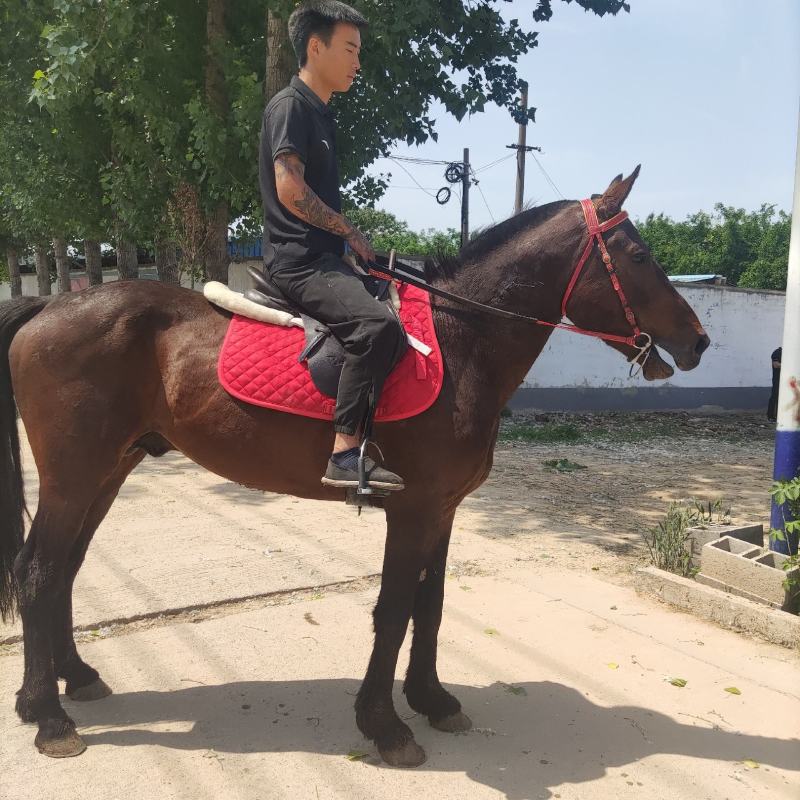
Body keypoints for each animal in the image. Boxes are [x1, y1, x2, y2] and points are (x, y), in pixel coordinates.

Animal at [0, 168, 709, 766]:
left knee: (63, 571)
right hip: (73, 478)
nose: (698, 341)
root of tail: (49, 306)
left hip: (106, 474)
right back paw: (47, 716)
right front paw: (384, 724)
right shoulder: (414, 508)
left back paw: (74, 680)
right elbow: (393, 609)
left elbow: (431, 603)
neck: (459, 341)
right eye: (638, 255)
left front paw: (431, 700)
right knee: (37, 572)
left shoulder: (443, 509)